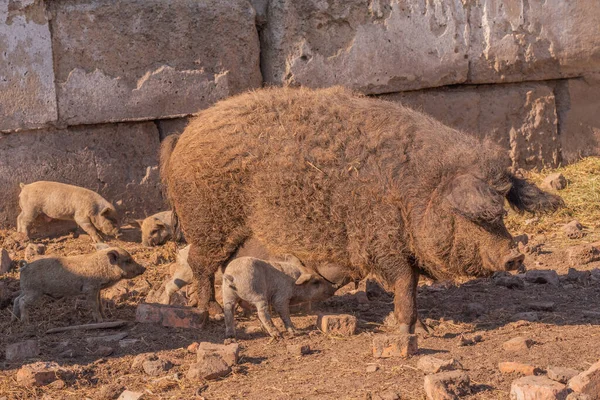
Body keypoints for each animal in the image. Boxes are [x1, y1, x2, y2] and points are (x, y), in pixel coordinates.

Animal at [13, 245, 145, 324]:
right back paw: (26, 323)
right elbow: (94, 305)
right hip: (34, 291)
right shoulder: (90, 288)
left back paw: (14, 319)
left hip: (26, 289)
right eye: (128, 261)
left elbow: (100, 304)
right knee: (22, 301)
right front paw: (100, 321)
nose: (144, 268)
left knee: (16, 299)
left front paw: (107, 318)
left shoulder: (98, 289)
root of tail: (25, 266)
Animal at [161, 86, 564, 332]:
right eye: (473, 217)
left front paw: (422, 326)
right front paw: (410, 328)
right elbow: (405, 282)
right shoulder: (379, 243)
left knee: (228, 267)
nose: (515, 255)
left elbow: (410, 285)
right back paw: (211, 313)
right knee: (201, 264)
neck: (417, 193)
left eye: (501, 212)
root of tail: (183, 134)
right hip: (208, 222)